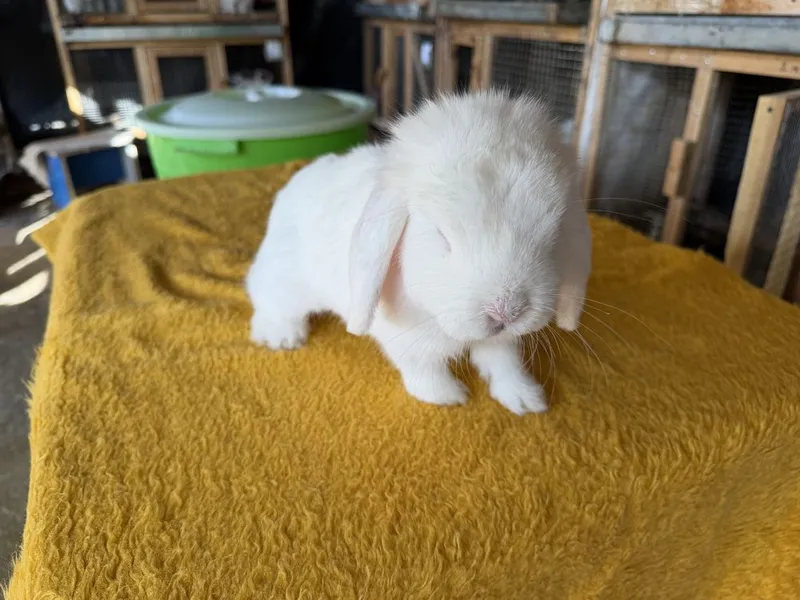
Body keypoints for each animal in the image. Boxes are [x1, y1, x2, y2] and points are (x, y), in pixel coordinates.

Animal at [246, 90, 592, 415]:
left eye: (553, 232)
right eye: (441, 236)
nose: (506, 312)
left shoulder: (500, 341)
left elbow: (504, 361)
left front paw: (526, 398)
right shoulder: (405, 339)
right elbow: (424, 368)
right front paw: (448, 396)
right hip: (286, 278)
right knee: (265, 297)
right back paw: (282, 336)